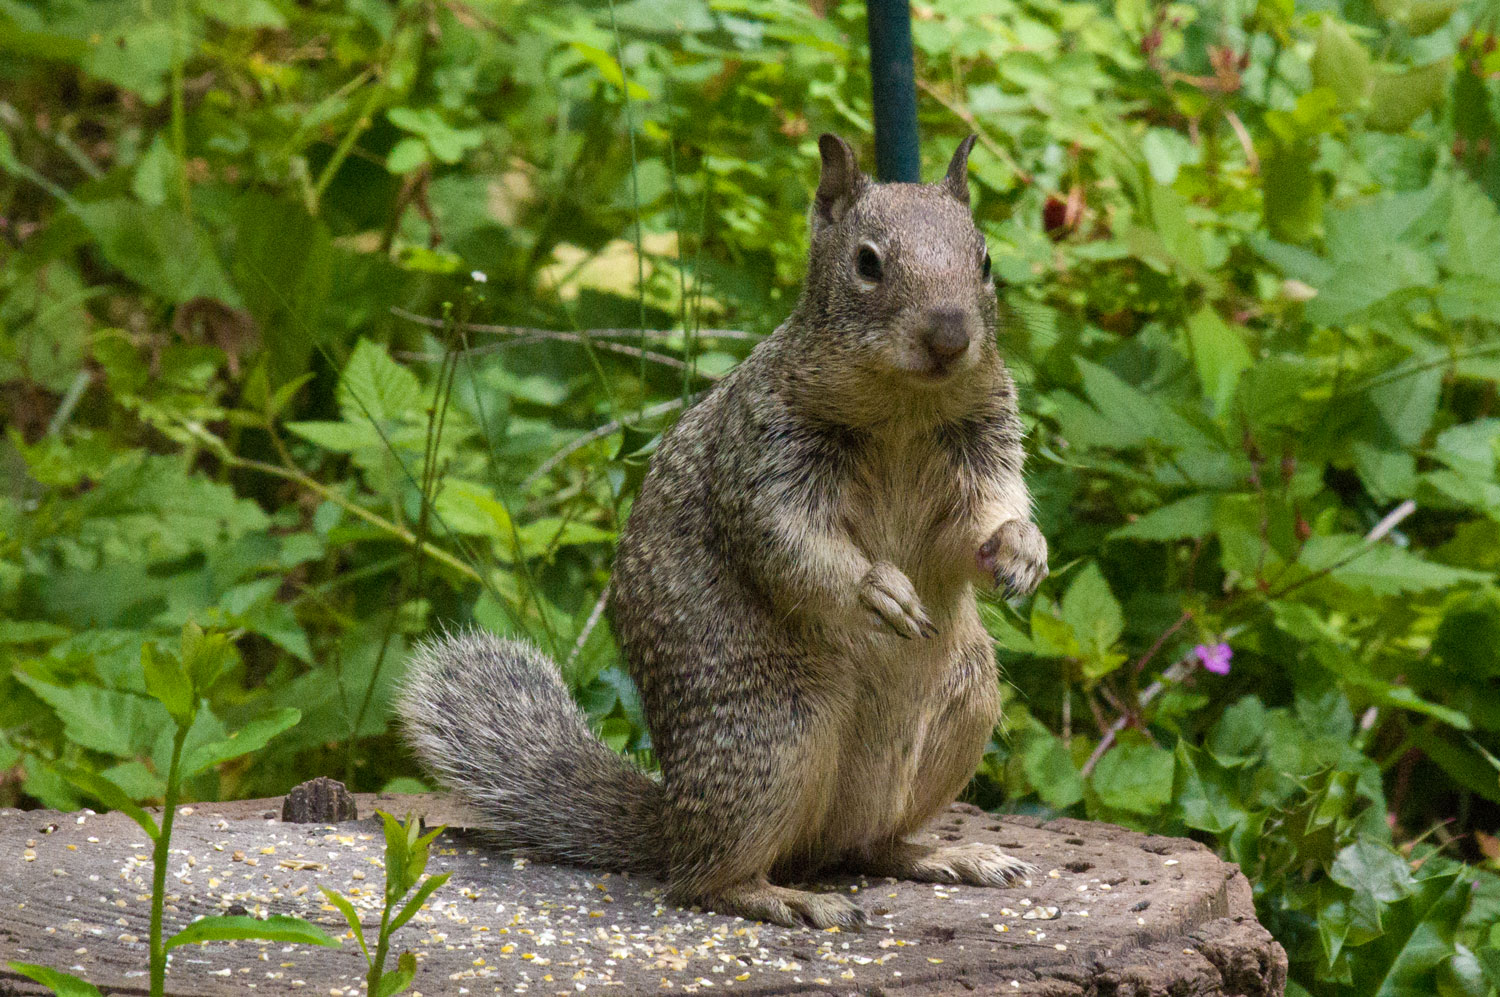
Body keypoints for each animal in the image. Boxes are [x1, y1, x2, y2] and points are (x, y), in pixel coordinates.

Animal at [397, 134, 1049, 930]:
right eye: (867, 263)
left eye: (984, 260)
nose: (950, 336)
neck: (904, 407)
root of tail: (671, 815)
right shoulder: (763, 458)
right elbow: (789, 545)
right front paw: (878, 590)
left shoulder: (981, 447)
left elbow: (981, 520)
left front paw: (1021, 550)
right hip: (776, 736)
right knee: (701, 880)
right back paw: (780, 895)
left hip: (964, 706)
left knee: (872, 846)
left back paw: (942, 854)